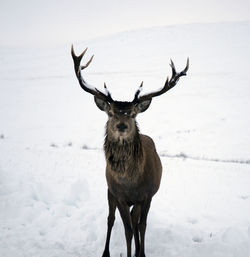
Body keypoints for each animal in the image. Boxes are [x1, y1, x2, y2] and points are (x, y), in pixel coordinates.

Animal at [71, 46, 188, 256]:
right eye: (110, 113)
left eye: (133, 114)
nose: (122, 126)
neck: (131, 182)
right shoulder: (119, 196)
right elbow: (126, 230)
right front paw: (129, 252)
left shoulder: (147, 195)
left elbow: (141, 226)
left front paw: (141, 253)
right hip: (109, 191)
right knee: (111, 219)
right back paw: (106, 251)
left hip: (138, 201)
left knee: (136, 221)